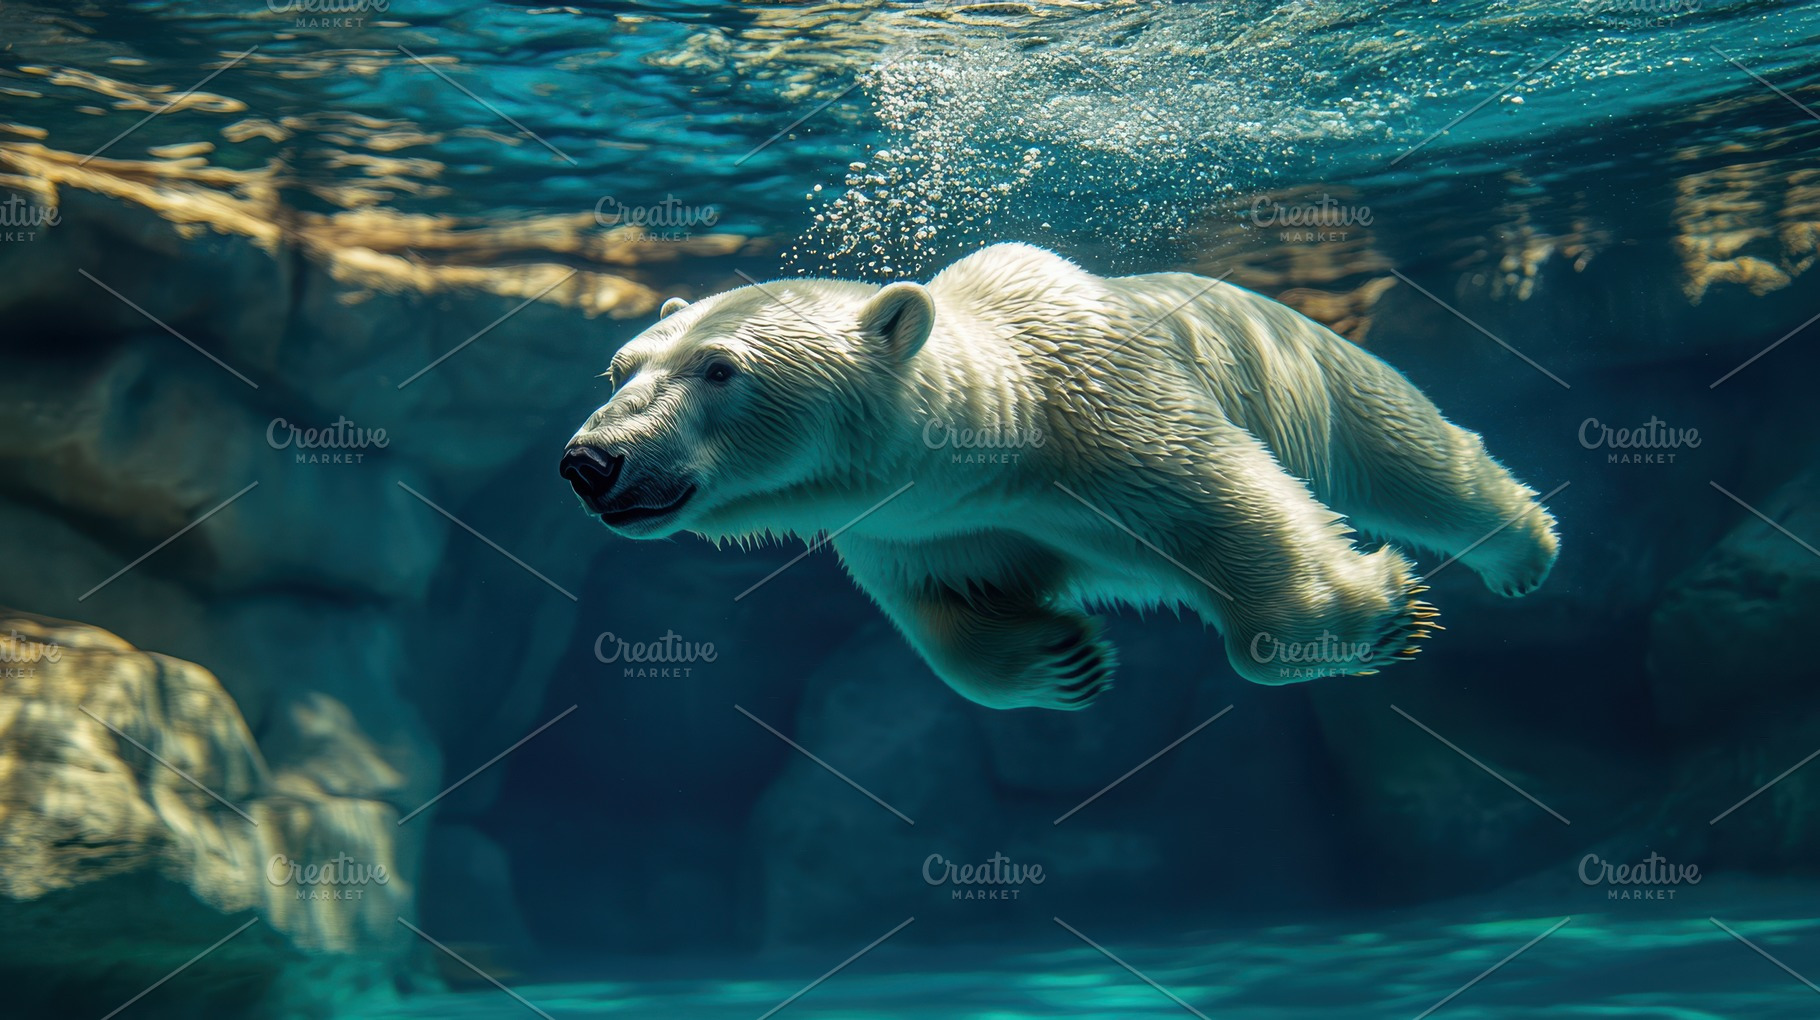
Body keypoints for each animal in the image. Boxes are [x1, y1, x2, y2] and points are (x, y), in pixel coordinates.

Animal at [561, 243, 1559, 709]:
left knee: (1405, 453)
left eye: (719, 369)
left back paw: (1525, 549)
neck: (1005, 433)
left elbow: (1239, 513)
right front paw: (1062, 659)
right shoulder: (917, 526)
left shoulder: (1112, 416)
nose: (590, 462)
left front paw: (1384, 616)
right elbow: (947, 612)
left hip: (1303, 364)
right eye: (618, 369)